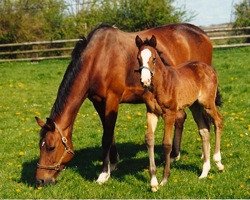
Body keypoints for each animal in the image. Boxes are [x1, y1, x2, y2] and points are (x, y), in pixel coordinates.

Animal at [136, 35, 224, 191]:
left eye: (154, 58)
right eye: (138, 58)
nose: (144, 81)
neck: (161, 84)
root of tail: (209, 68)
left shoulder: (169, 114)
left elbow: (167, 143)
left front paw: (164, 179)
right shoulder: (151, 113)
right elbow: (149, 139)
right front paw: (153, 181)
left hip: (207, 104)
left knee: (218, 121)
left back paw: (218, 162)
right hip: (196, 107)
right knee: (204, 131)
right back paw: (204, 172)